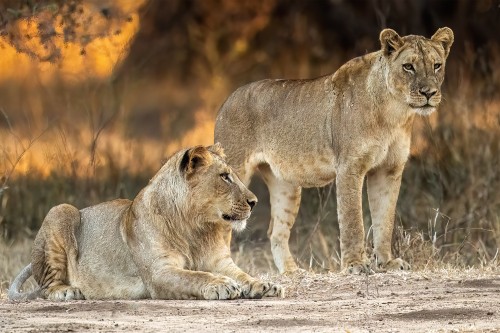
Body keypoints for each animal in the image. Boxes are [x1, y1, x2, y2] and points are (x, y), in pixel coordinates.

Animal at [7, 144, 284, 300]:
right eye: (225, 177)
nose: (254, 201)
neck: (197, 228)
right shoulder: (159, 273)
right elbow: (196, 276)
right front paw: (222, 285)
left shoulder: (220, 262)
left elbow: (243, 275)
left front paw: (264, 284)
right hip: (61, 210)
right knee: (46, 286)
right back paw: (66, 291)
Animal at [213, 27, 456, 272]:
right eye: (408, 67)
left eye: (437, 65)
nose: (429, 93)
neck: (395, 112)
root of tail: (227, 100)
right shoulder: (350, 167)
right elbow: (352, 220)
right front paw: (355, 265)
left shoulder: (389, 170)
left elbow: (385, 220)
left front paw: (387, 262)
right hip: (235, 173)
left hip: (285, 184)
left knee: (276, 231)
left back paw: (292, 274)